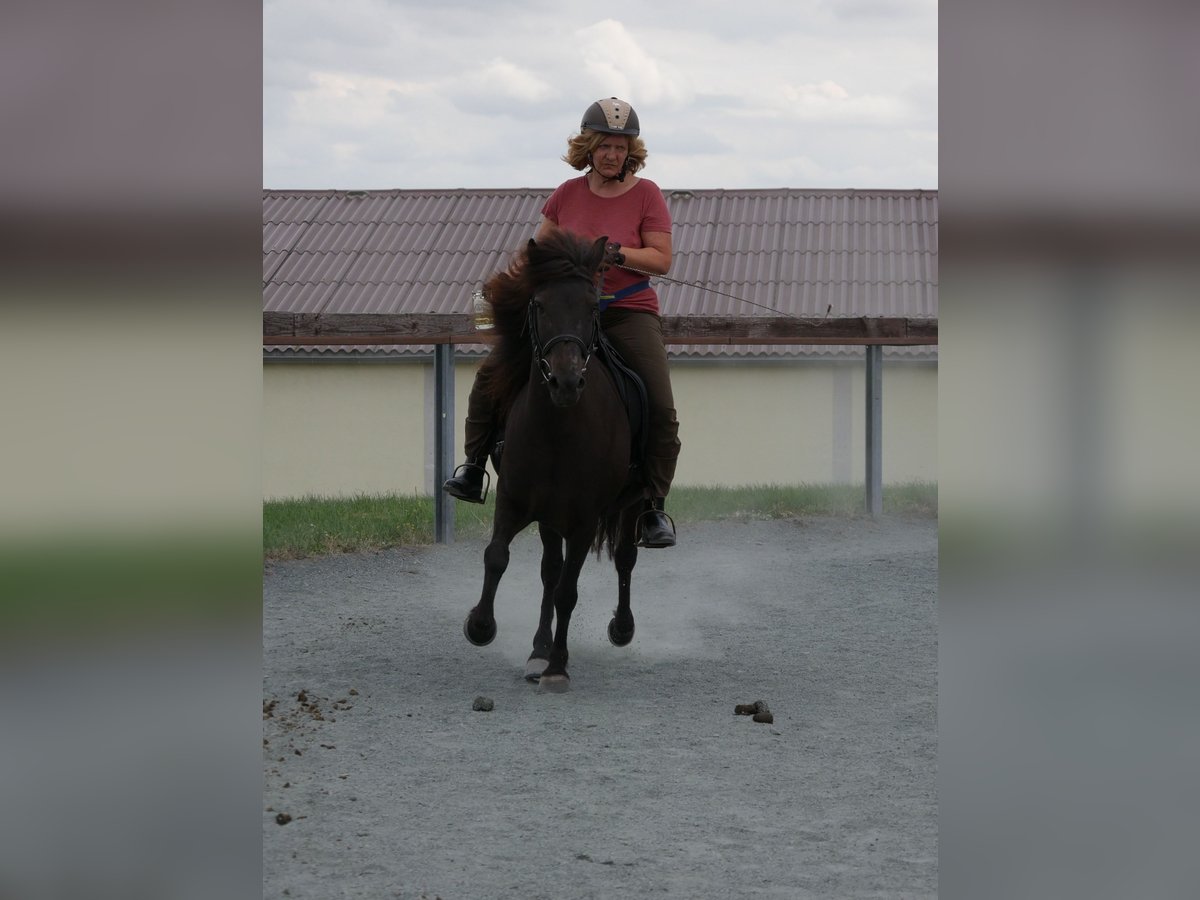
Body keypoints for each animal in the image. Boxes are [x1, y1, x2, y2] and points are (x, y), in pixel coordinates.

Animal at [460, 230, 648, 691]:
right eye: (540, 305)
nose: (566, 381)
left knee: (623, 557)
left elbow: (568, 591)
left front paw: (558, 667)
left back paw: (621, 628)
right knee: (550, 568)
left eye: (591, 306)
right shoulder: (513, 501)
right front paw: (481, 627)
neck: (557, 430)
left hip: (629, 503)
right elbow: (498, 557)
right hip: (549, 514)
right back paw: (538, 649)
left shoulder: (583, 520)